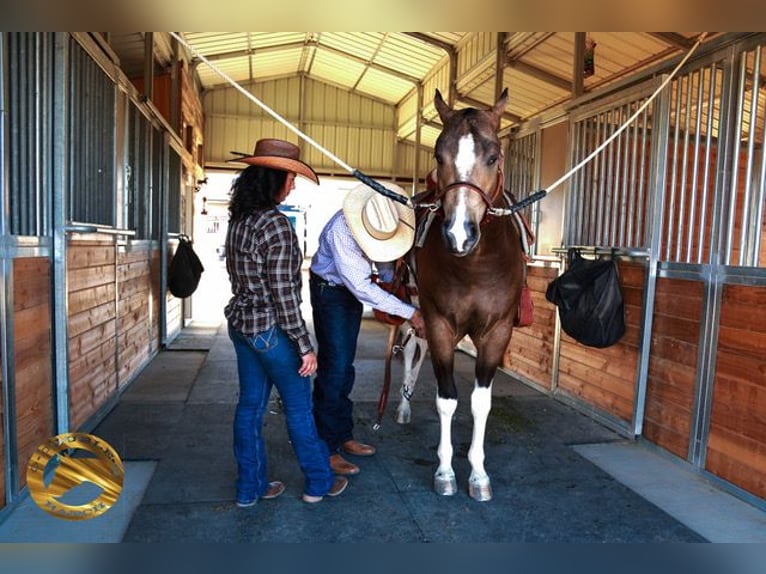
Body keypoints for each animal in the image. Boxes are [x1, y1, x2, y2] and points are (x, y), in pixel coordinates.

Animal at [413, 88, 525, 502]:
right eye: (438, 155)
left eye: (493, 156)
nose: (459, 234)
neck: (475, 266)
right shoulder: (439, 325)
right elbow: (446, 400)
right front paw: (445, 472)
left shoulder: (497, 332)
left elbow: (480, 403)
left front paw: (478, 475)